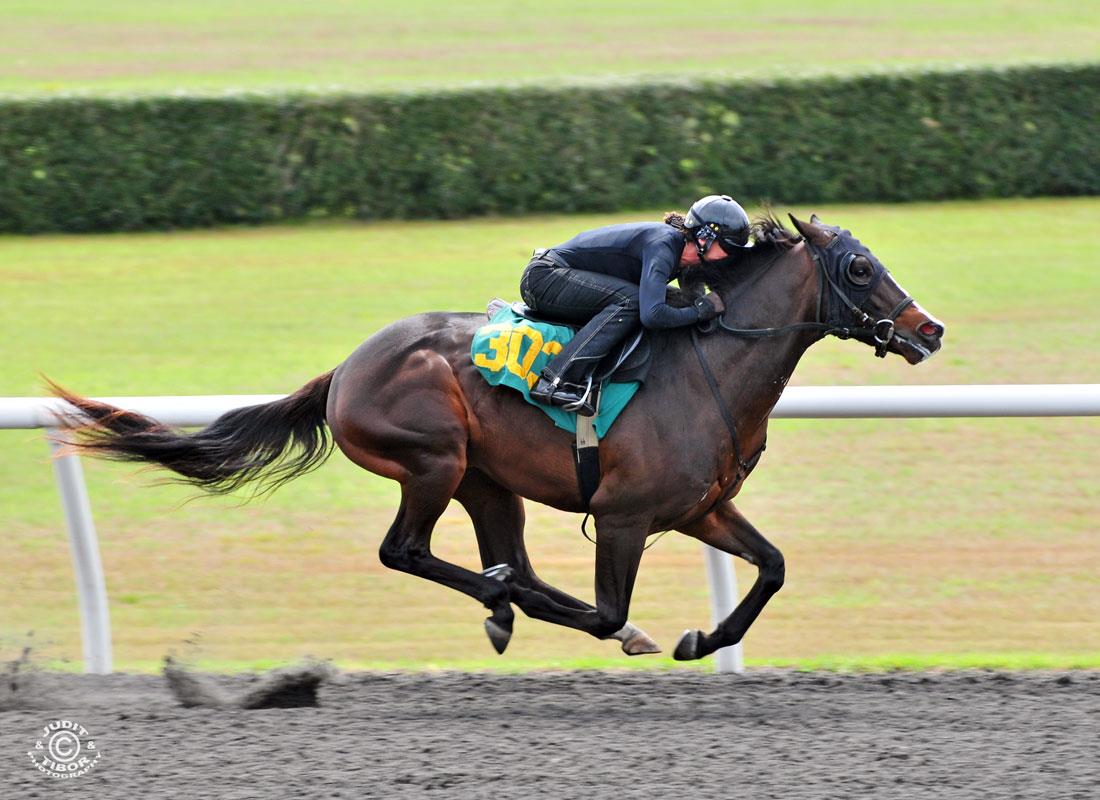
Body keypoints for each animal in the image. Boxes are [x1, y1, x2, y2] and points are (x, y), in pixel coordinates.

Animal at [51, 212, 946, 664]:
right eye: (860, 268)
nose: (929, 329)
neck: (708, 369)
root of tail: (343, 371)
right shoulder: (623, 516)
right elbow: (607, 609)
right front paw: (635, 629)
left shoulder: (699, 509)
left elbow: (772, 567)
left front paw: (704, 638)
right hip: (433, 459)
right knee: (407, 552)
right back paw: (504, 600)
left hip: (487, 481)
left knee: (498, 555)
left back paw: (503, 602)